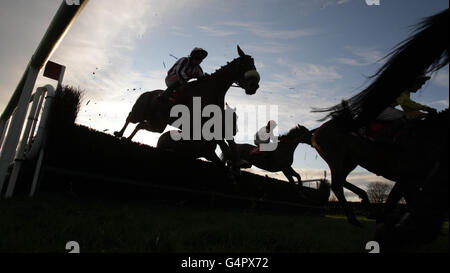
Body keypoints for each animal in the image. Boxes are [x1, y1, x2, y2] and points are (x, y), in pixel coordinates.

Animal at [312, 9, 448, 250]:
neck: (431, 137)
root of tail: (317, 131)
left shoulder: (409, 180)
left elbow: (396, 205)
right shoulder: (409, 178)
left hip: (350, 158)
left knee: (342, 180)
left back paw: (365, 202)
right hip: (336, 155)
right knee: (337, 184)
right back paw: (354, 217)